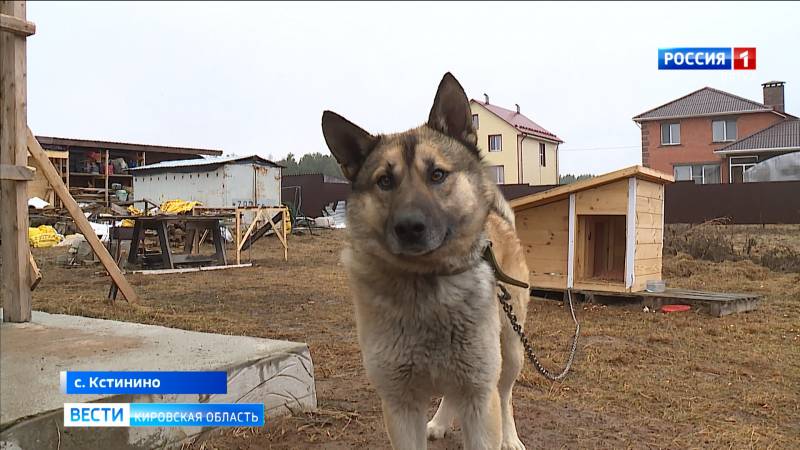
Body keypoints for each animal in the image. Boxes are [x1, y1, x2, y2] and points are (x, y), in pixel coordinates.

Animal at [318, 72, 532, 448]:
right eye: (385, 181)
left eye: (437, 175)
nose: (409, 227)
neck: (425, 284)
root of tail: (499, 219)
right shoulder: (399, 404)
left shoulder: (480, 396)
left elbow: (489, 403)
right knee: (450, 393)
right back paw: (440, 421)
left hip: (510, 350)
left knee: (505, 394)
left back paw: (510, 437)